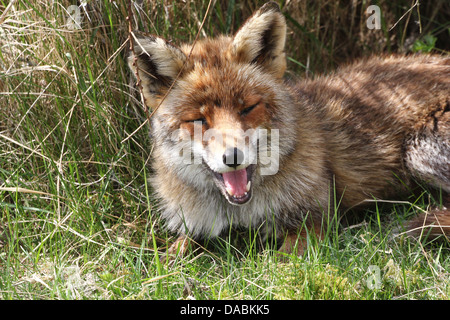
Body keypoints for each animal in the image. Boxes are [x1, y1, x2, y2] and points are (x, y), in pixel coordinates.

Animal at [127, 1, 450, 256]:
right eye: (198, 120)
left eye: (247, 108)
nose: (233, 157)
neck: (240, 213)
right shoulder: (194, 225)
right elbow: (176, 250)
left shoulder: (317, 219)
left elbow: (284, 262)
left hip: (418, 149)